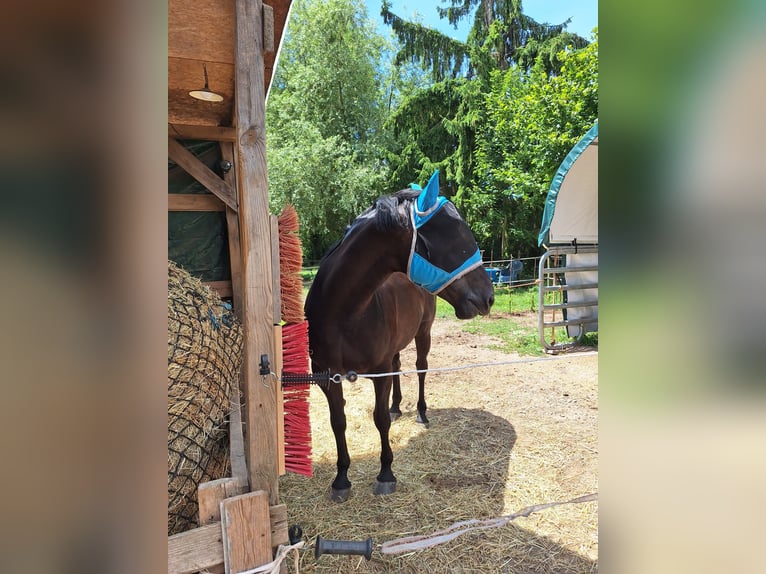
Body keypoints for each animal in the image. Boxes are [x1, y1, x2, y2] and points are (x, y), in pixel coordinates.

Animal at [305, 171, 494, 502]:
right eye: (455, 235)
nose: (488, 297)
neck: (343, 312)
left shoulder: (378, 372)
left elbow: (379, 419)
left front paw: (385, 474)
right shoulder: (328, 377)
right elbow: (337, 422)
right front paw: (341, 479)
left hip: (423, 334)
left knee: (420, 370)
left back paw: (420, 413)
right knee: (398, 369)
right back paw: (397, 407)